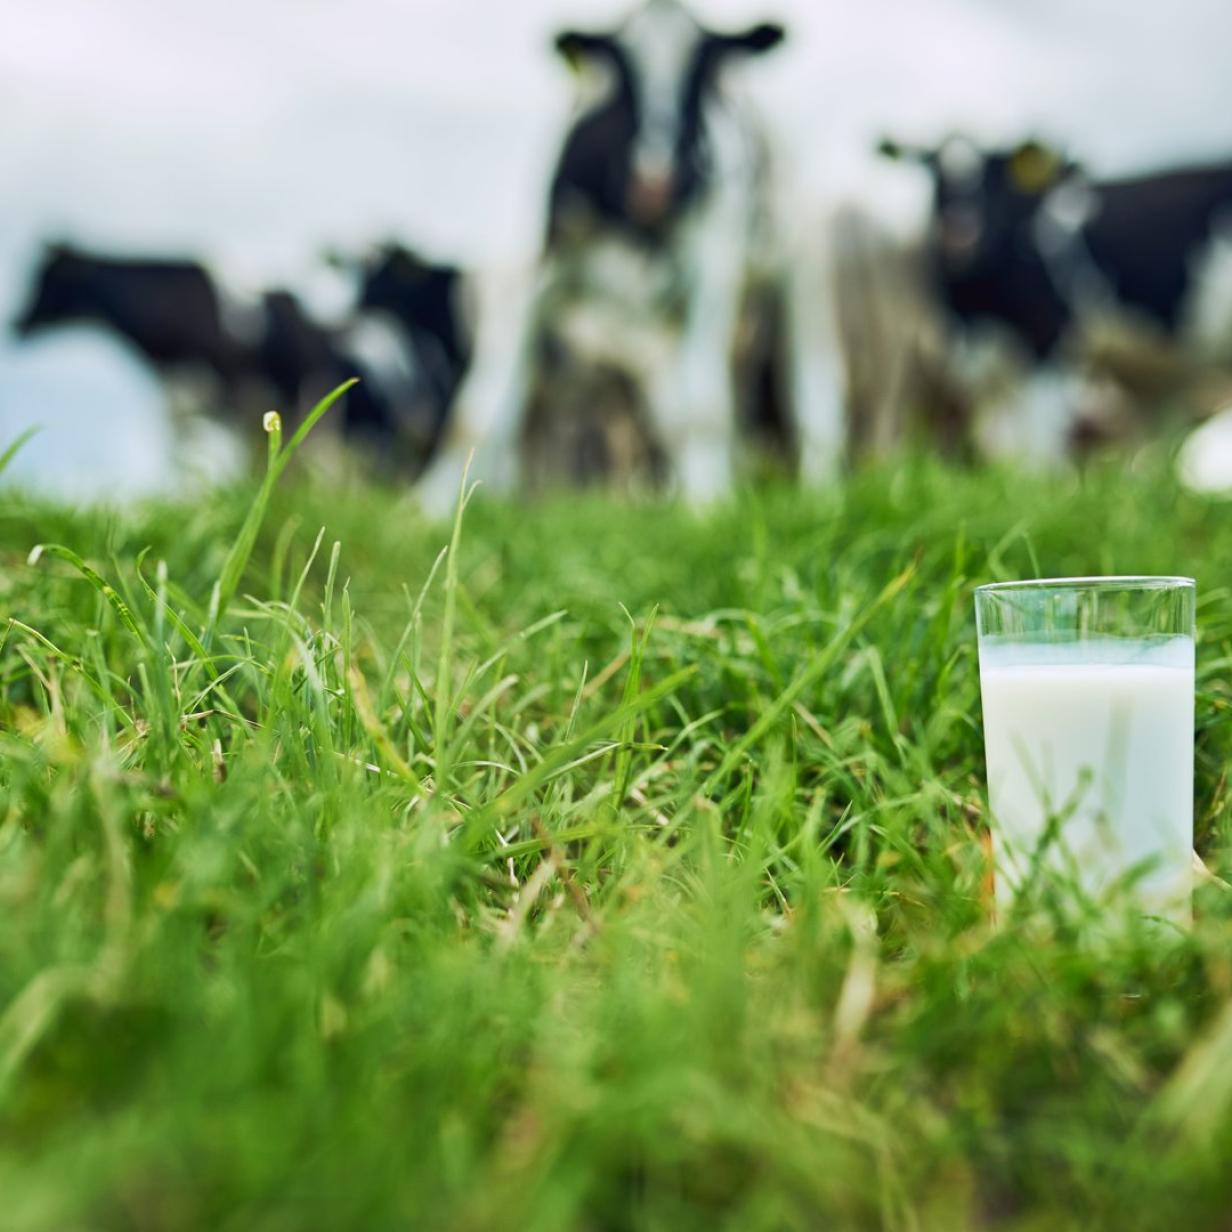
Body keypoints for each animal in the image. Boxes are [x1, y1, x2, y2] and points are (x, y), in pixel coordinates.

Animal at [413, 0, 847, 512]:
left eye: (703, 66)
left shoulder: (712, 270)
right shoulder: (528, 274)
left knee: (814, 383)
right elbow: (476, 412)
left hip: (801, 266)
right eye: (621, 68)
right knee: (670, 411)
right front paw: (428, 507)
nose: (655, 183)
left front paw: (708, 507)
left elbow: (704, 408)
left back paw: (821, 492)